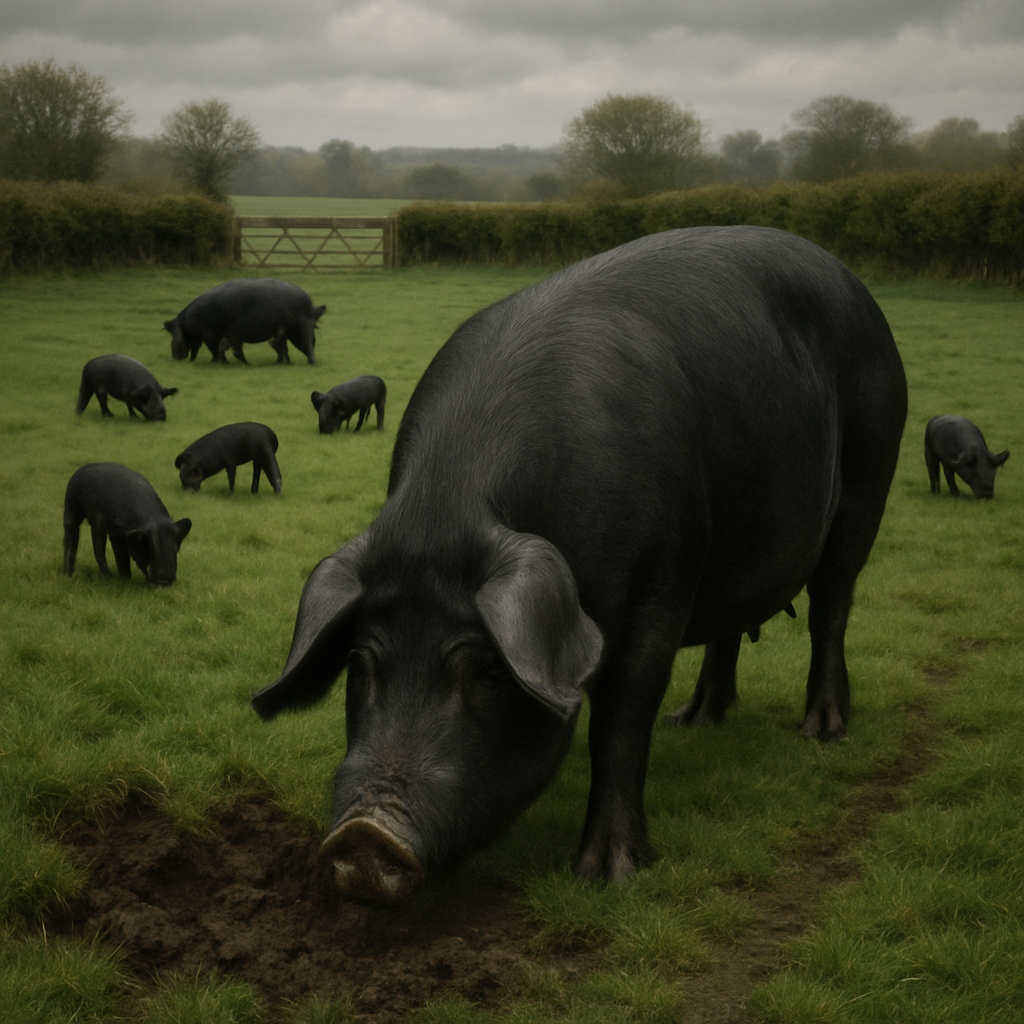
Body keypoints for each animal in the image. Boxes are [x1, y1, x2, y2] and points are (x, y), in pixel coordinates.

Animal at [63, 463, 192, 585]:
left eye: (175, 550)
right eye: (148, 548)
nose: (166, 581)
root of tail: (79, 471)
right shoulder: (115, 532)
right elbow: (121, 557)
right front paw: (124, 579)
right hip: (71, 506)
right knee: (73, 539)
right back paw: (71, 575)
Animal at [251, 225, 908, 907]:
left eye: (487, 672)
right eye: (359, 665)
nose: (363, 836)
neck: (450, 508)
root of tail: (853, 282)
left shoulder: (662, 583)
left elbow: (621, 720)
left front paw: (607, 875)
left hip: (872, 466)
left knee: (832, 605)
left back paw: (822, 731)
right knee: (731, 625)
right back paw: (695, 720)